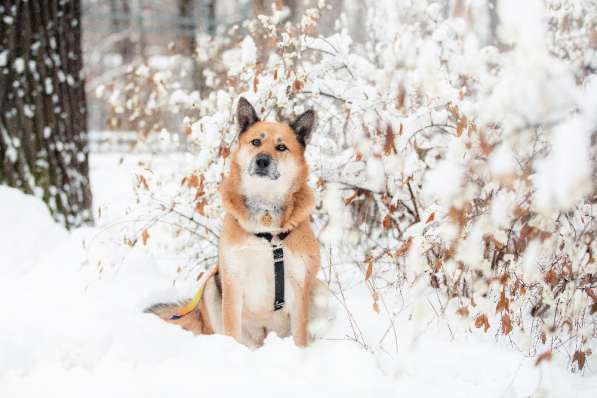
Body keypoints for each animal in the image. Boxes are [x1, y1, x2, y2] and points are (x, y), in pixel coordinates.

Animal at [144, 97, 330, 348]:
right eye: (256, 142)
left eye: (281, 147)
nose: (262, 160)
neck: (265, 215)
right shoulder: (233, 279)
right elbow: (231, 328)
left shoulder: (300, 284)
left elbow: (300, 336)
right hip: (211, 286)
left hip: (321, 290)